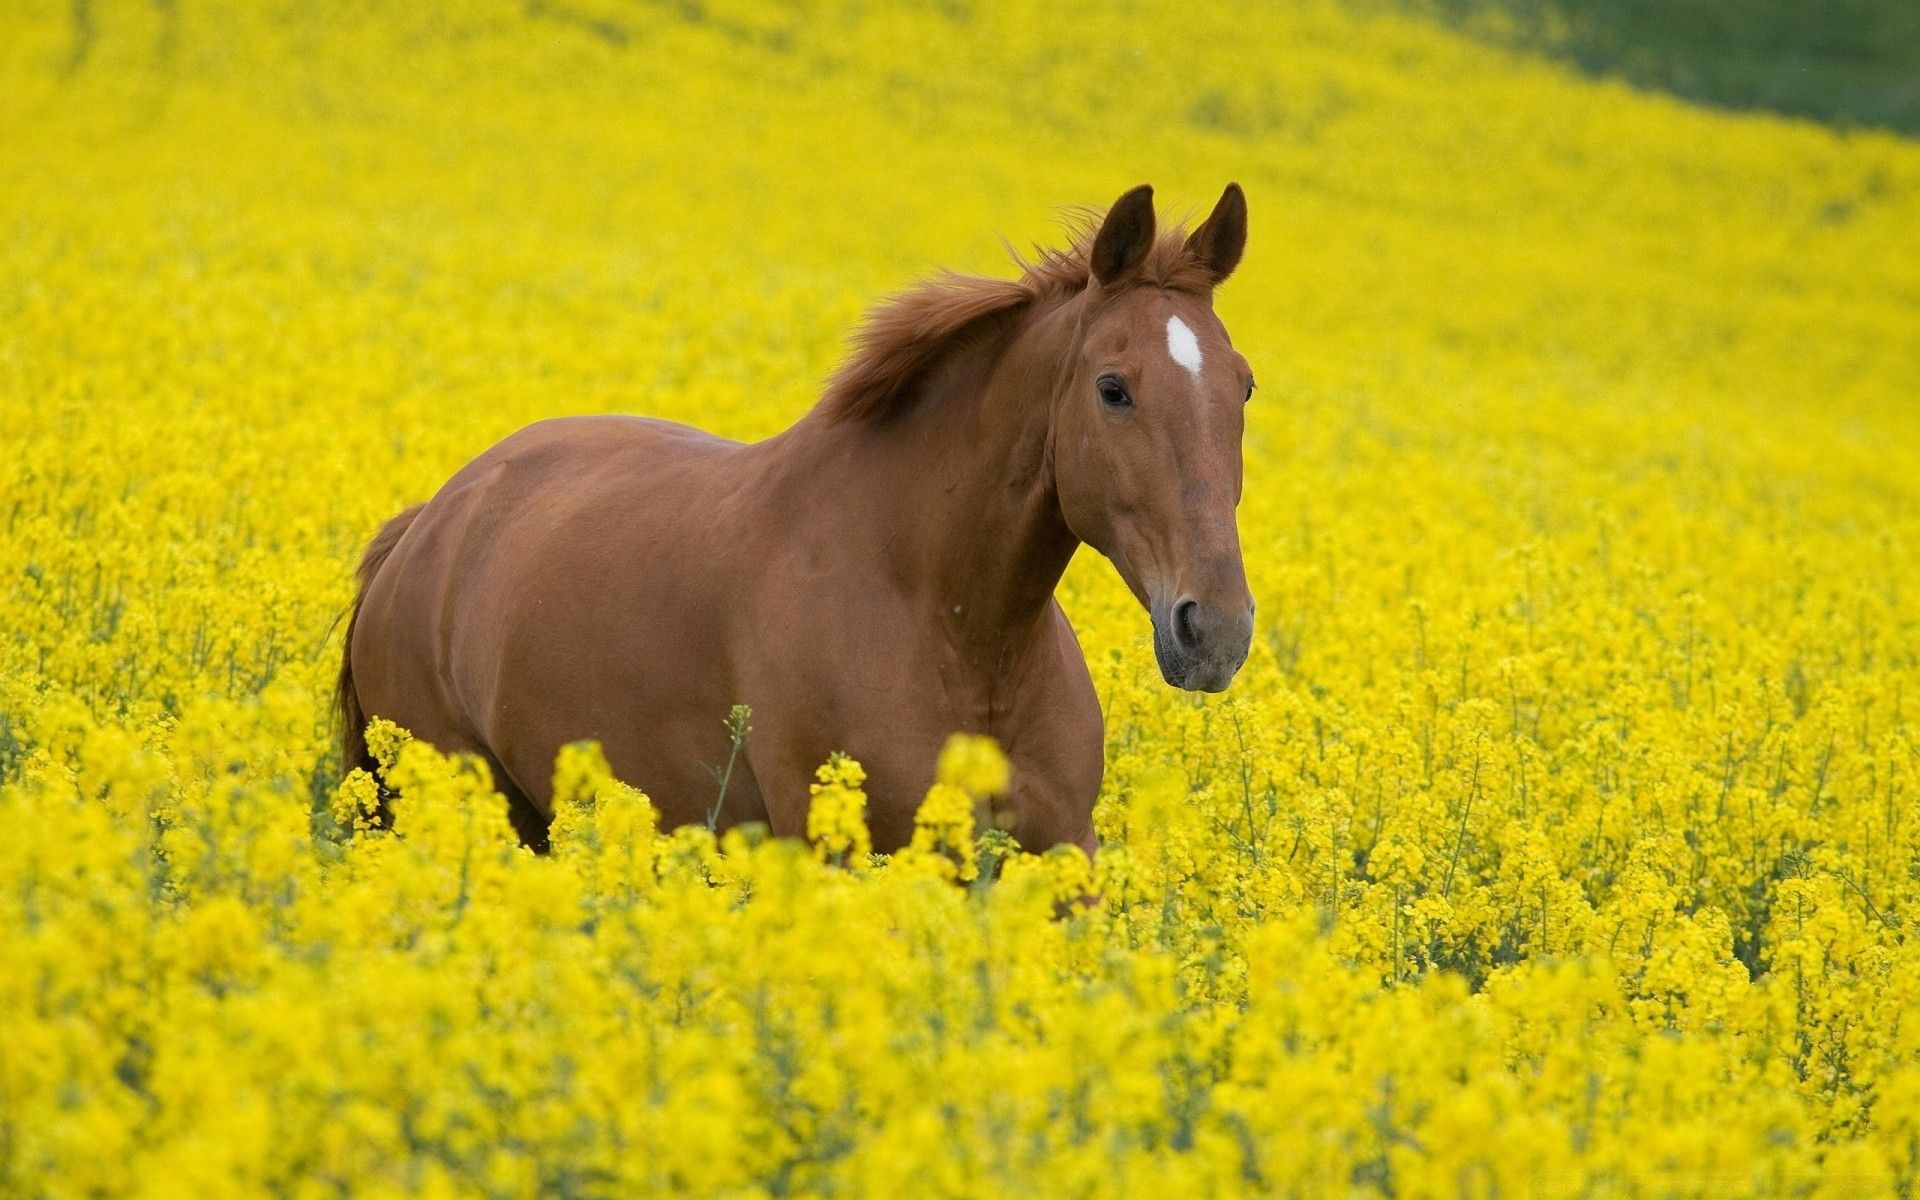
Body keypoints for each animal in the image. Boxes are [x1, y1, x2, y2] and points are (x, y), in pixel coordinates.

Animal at [336, 183, 1256, 854]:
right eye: (1113, 388)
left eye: (1243, 385)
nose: (1215, 630)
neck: (956, 630)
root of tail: (429, 524)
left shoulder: (1064, 856)